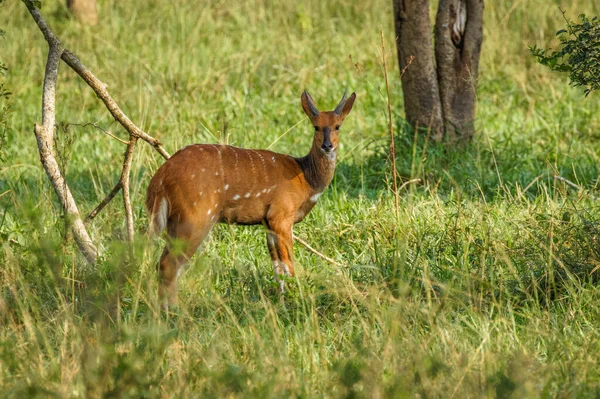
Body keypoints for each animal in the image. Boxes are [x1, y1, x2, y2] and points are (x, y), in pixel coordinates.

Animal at [147, 90, 354, 310]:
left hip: (174, 222)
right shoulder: (281, 216)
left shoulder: (267, 222)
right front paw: (296, 302)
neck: (305, 178)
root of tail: (160, 178)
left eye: (337, 126)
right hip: (195, 217)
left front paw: (282, 304)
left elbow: (277, 267)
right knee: (169, 265)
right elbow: (289, 265)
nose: (327, 146)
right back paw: (173, 311)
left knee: (163, 262)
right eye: (316, 126)